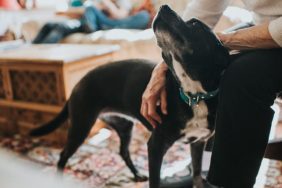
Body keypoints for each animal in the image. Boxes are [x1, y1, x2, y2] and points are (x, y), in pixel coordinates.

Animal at [30, 5, 229, 187]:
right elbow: (156, 181)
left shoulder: (198, 143)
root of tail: (79, 81)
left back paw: (136, 174)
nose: (163, 6)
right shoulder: (155, 146)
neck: (194, 96)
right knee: (63, 155)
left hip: (124, 127)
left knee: (123, 152)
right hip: (81, 125)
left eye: (194, 23)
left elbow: (197, 174)